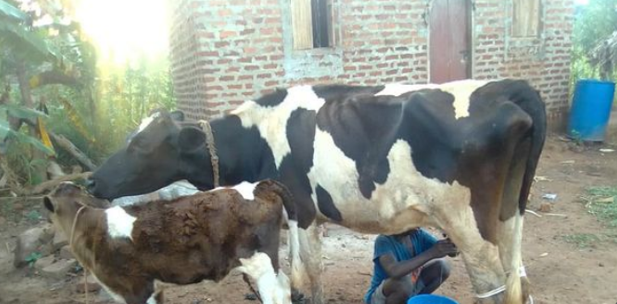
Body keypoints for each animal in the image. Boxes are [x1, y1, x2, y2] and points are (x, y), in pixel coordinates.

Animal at [43, 180, 294, 304]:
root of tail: (258, 186)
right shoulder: (153, 288)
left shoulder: (136, 289)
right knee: (285, 285)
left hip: (260, 263)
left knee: (276, 295)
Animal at [86, 79, 544, 302]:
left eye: (140, 145)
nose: (91, 179)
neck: (256, 137)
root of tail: (502, 86)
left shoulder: (301, 211)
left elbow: (305, 281)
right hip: (509, 214)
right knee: (518, 282)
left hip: (466, 220)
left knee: (493, 288)